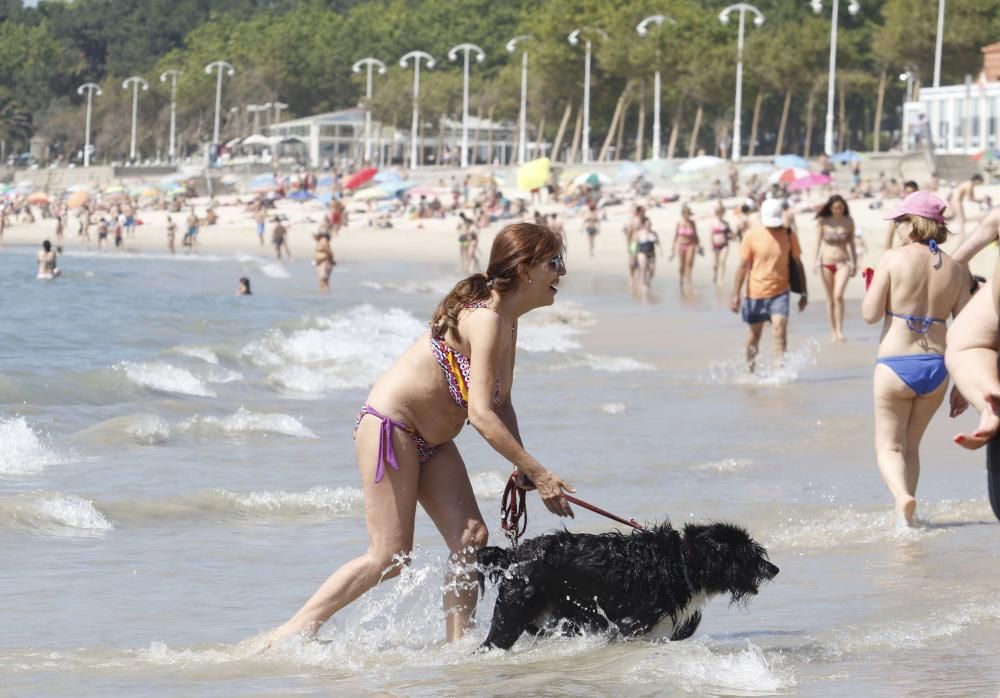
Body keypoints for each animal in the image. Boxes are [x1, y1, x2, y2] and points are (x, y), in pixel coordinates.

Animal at [478, 520, 780, 648]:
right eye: (748, 554)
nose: (775, 569)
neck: (683, 561)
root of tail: (513, 555)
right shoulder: (631, 623)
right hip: (513, 612)